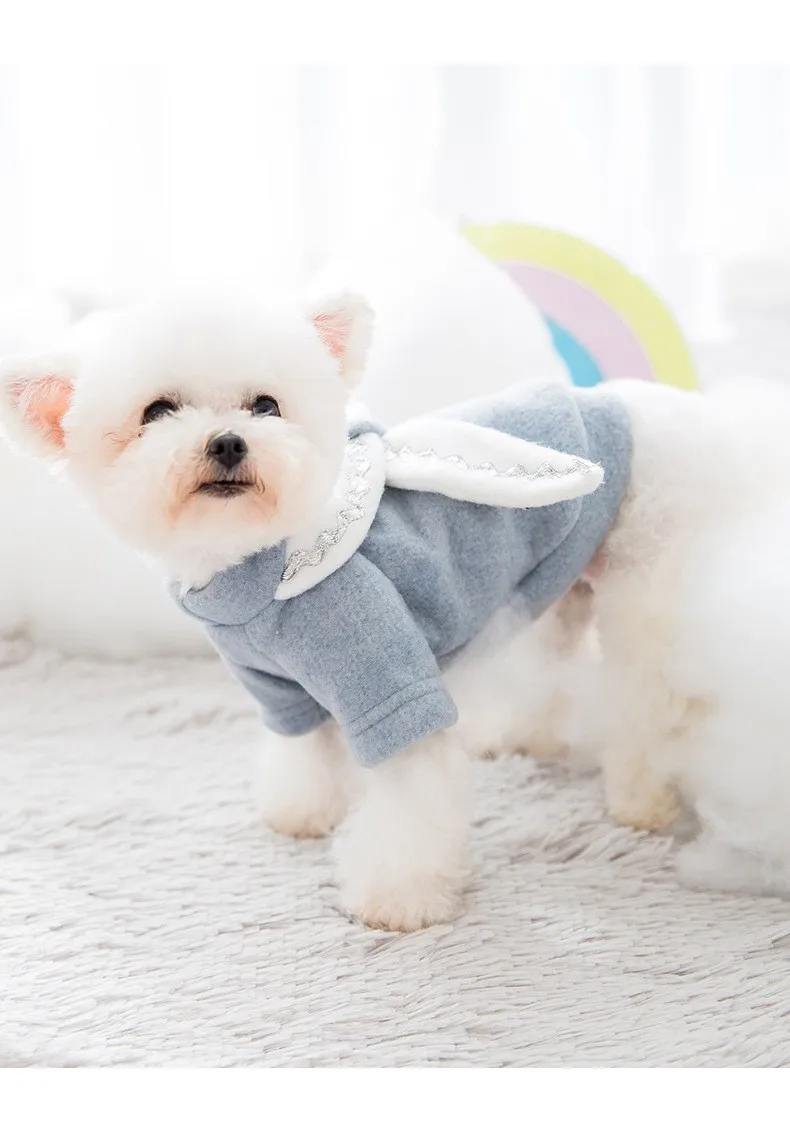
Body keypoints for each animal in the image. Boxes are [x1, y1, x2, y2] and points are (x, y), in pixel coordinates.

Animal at [4, 293, 790, 926]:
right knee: (556, 659)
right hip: (563, 575)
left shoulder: (387, 676)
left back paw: (642, 800)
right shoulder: (282, 690)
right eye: (157, 412)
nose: (228, 441)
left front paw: (398, 901)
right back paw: (524, 736)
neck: (255, 567)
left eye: (266, 406)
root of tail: (700, 417)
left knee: (649, 702)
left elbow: (409, 805)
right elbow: (307, 753)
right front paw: (304, 812)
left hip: (644, 582)